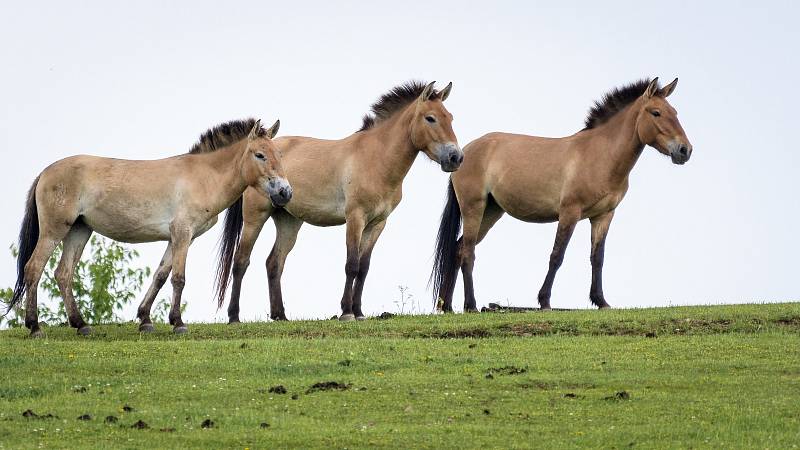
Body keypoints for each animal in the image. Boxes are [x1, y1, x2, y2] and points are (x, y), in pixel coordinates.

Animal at [7, 118, 290, 336]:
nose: (285, 192)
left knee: (63, 274)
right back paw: (35, 327)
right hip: (54, 231)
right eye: (260, 155)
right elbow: (178, 278)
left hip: (79, 230)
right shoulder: (182, 234)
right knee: (34, 269)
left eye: (280, 155)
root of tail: (45, 172)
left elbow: (161, 276)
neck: (204, 176)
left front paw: (145, 319)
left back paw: (81, 325)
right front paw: (178, 323)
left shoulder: (177, 238)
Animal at [216, 80, 462, 320]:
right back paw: (234, 316)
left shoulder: (377, 223)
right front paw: (346, 312)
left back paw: (280, 316)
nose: (456, 157)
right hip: (255, 218)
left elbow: (364, 267)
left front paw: (359, 311)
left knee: (274, 263)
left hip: (288, 220)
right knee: (241, 262)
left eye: (450, 117)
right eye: (430, 118)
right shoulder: (355, 218)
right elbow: (351, 265)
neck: (376, 159)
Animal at [434, 77, 692, 312]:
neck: (600, 155)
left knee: (458, 249)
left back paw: (448, 306)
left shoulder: (603, 216)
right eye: (656, 112)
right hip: (474, 208)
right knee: (468, 252)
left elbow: (597, 258)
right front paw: (545, 301)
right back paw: (470, 305)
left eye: (675, 112)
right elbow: (557, 255)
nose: (685, 150)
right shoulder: (570, 212)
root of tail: (463, 153)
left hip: (491, 212)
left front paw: (601, 301)